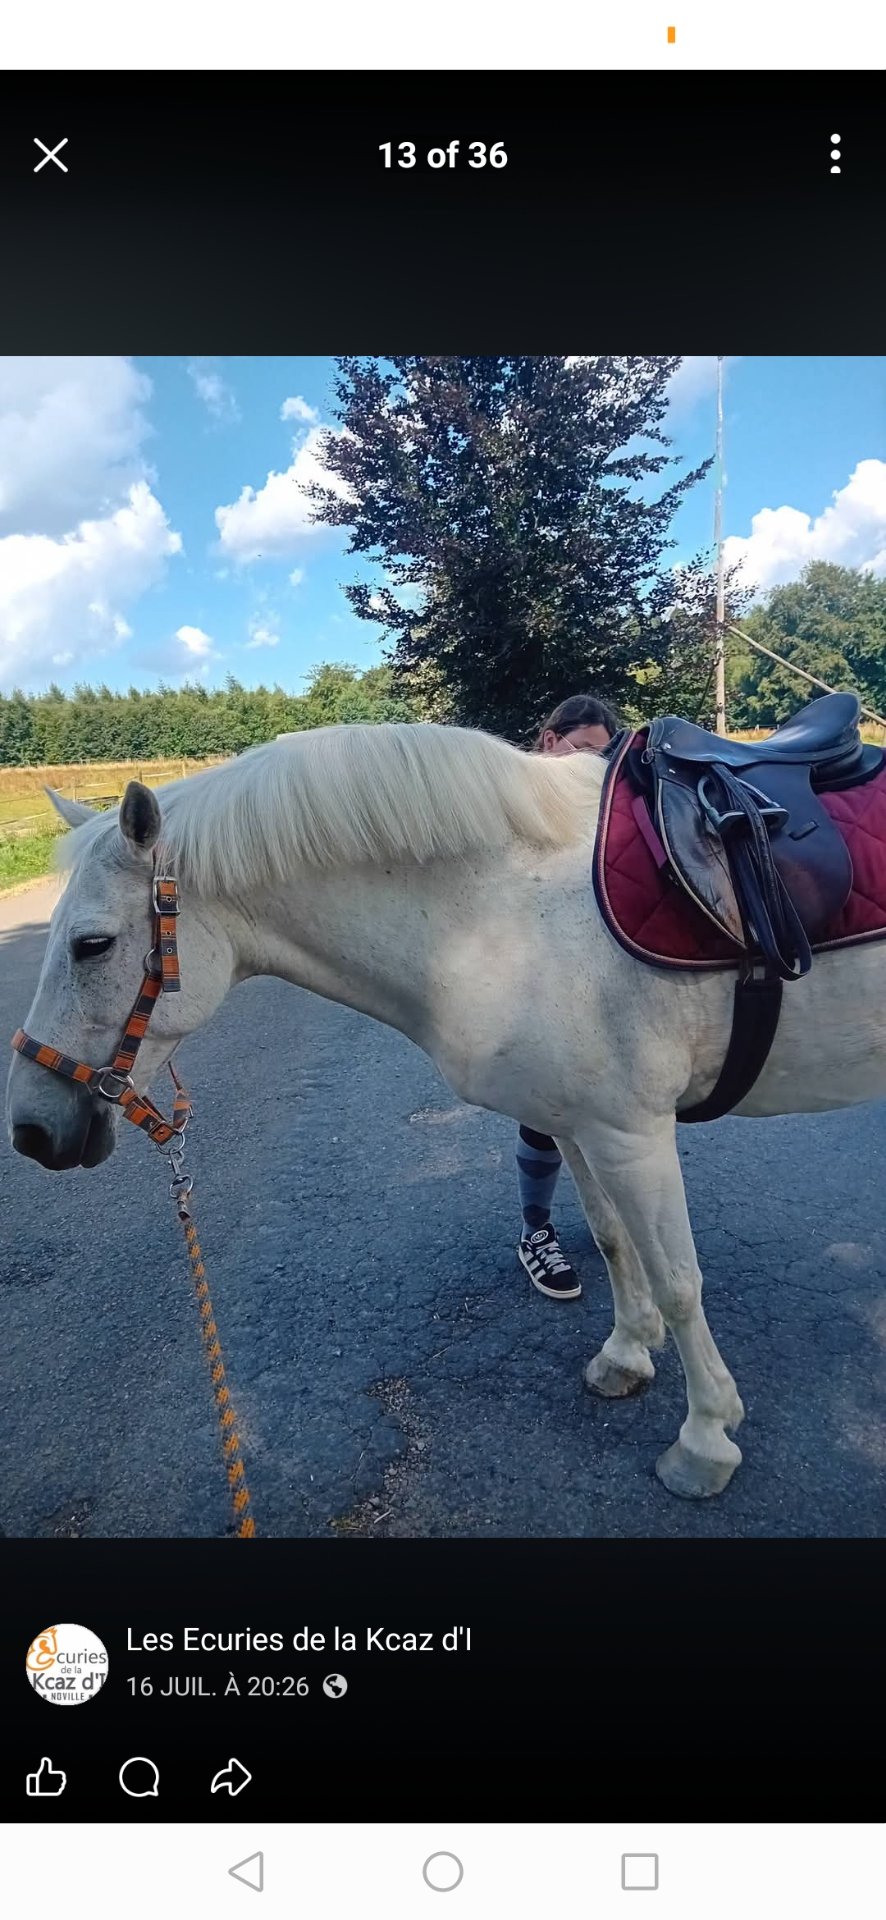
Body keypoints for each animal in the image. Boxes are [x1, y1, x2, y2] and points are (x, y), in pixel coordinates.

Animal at [7, 720, 886, 1500]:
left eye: (92, 944)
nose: (31, 1130)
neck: (513, 910)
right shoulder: (580, 1125)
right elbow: (611, 1241)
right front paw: (627, 1356)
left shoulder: (632, 1134)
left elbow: (678, 1281)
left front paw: (705, 1441)